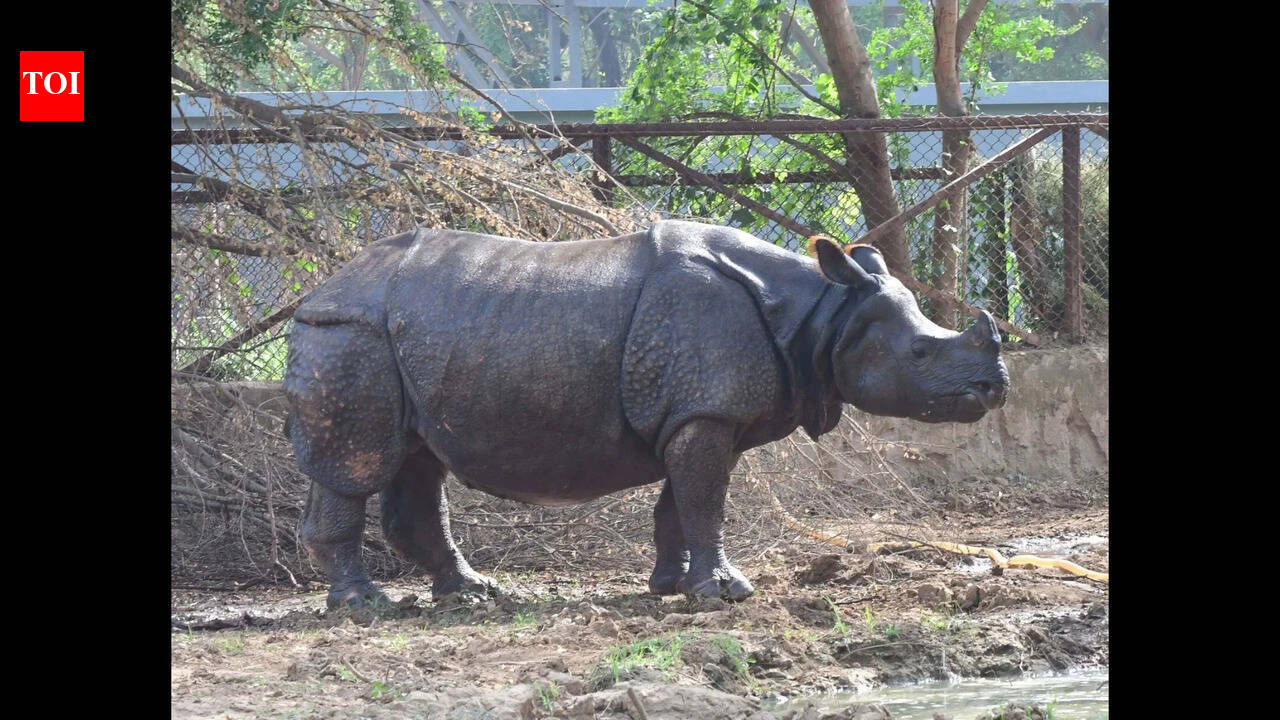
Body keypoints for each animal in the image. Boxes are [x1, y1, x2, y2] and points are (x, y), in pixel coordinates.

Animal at [284, 220, 1008, 608]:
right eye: (920, 351)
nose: (995, 387)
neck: (820, 313)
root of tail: (315, 292)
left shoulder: (699, 412)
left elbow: (680, 504)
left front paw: (671, 586)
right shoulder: (705, 410)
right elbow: (705, 500)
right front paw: (728, 593)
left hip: (402, 340)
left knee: (416, 460)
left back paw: (473, 593)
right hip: (349, 336)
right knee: (357, 464)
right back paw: (364, 606)